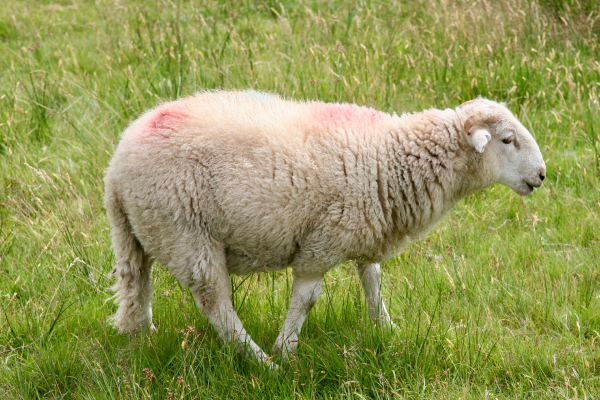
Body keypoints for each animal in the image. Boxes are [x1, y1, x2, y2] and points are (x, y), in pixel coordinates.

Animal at [104, 90, 548, 366]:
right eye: (507, 140)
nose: (542, 175)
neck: (388, 157)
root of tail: (117, 168)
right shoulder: (323, 241)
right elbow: (307, 299)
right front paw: (286, 350)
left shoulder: (366, 224)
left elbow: (372, 279)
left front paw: (386, 327)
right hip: (188, 234)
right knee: (217, 305)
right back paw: (261, 363)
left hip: (142, 234)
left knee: (138, 285)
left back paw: (142, 334)